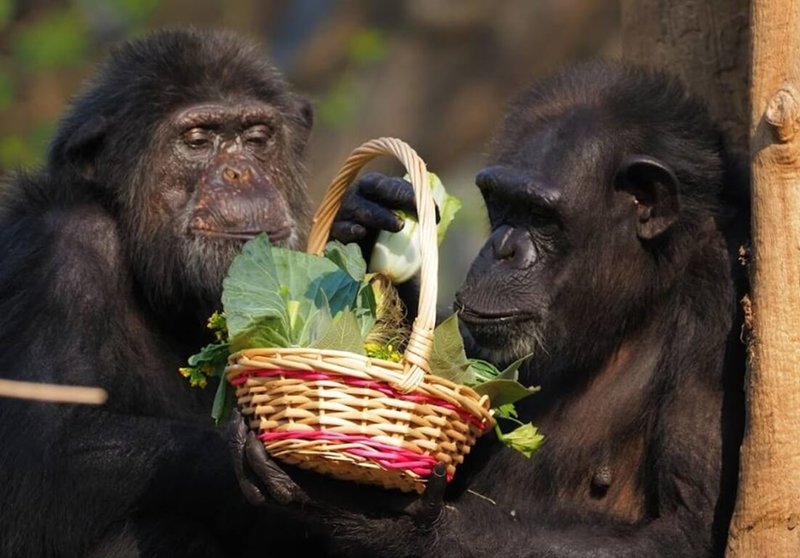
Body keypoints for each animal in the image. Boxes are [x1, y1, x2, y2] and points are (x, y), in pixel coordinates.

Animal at [0, 28, 322, 556]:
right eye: (197, 141)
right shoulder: (56, 254)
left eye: (256, 139)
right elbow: (40, 462)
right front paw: (251, 448)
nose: (240, 171)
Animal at [231, 61, 752, 558]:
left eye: (540, 215)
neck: (640, 300)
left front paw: (372, 510)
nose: (501, 247)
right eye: (500, 202)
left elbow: (685, 527)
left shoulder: (719, 298)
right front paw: (363, 220)